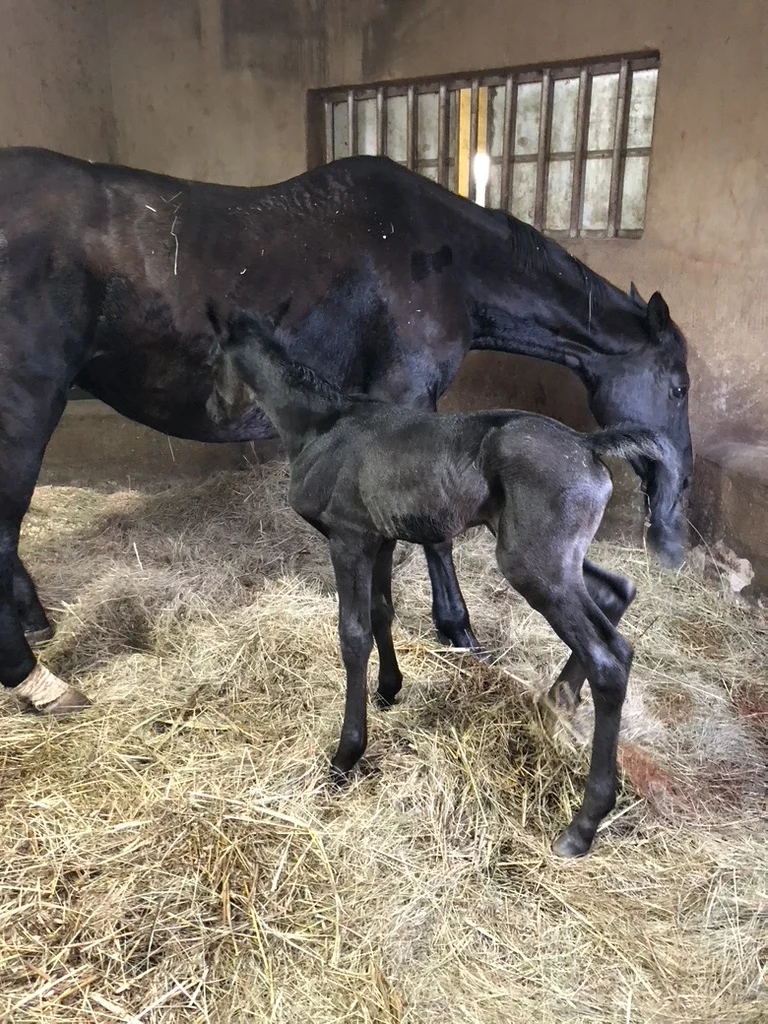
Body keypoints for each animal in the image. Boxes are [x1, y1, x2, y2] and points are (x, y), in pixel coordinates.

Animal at [207, 309, 684, 856]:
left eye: (210, 360)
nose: (212, 411)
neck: (321, 425)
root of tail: (588, 444)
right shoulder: (380, 539)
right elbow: (381, 612)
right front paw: (389, 690)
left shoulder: (348, 538)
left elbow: (353, 636)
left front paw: (346, 755)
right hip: (549, 557)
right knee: (616, 592)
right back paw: (558, 698)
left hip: (531, 564)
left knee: (609, 657)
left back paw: (581, 826)